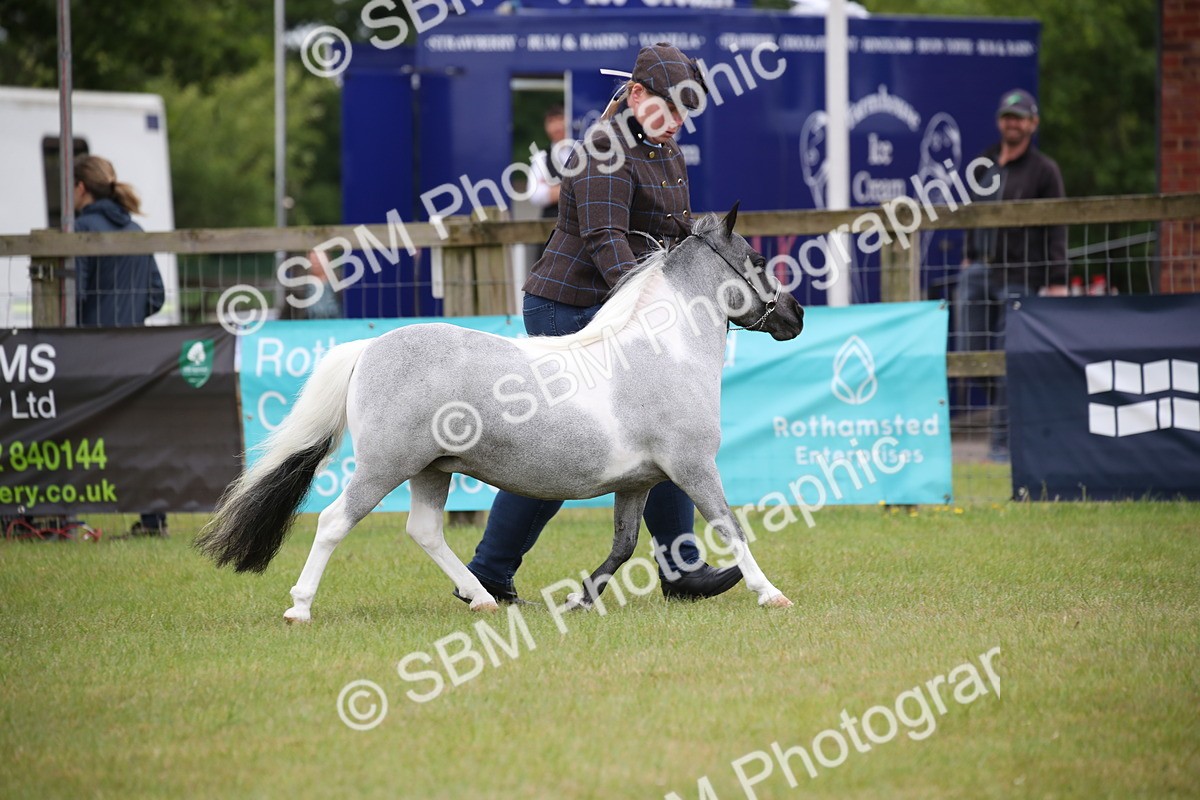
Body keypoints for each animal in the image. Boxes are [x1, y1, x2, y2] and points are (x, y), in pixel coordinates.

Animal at [197, 204, 805, 621]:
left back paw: (484, 598)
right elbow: (729, 526)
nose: (796, 317)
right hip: (385, 465)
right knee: (333, 522)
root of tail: (370, 347)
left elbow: (624, 545)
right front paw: (771, 594)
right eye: (756, 260)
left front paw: (580, 600)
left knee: (425, 532)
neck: (662, 351)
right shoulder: (693, 466)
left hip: (431, 470)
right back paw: (300, 607)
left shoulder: (638, 483)